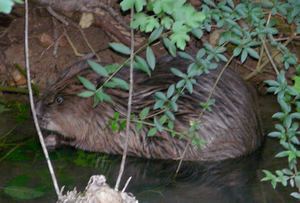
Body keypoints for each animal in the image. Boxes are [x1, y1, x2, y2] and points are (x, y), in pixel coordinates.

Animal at [36, 57, 262, 162]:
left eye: (59, 99)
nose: (37, 111)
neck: (117, 104)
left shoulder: (114, 132)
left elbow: (85, 142)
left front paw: (50, 139)